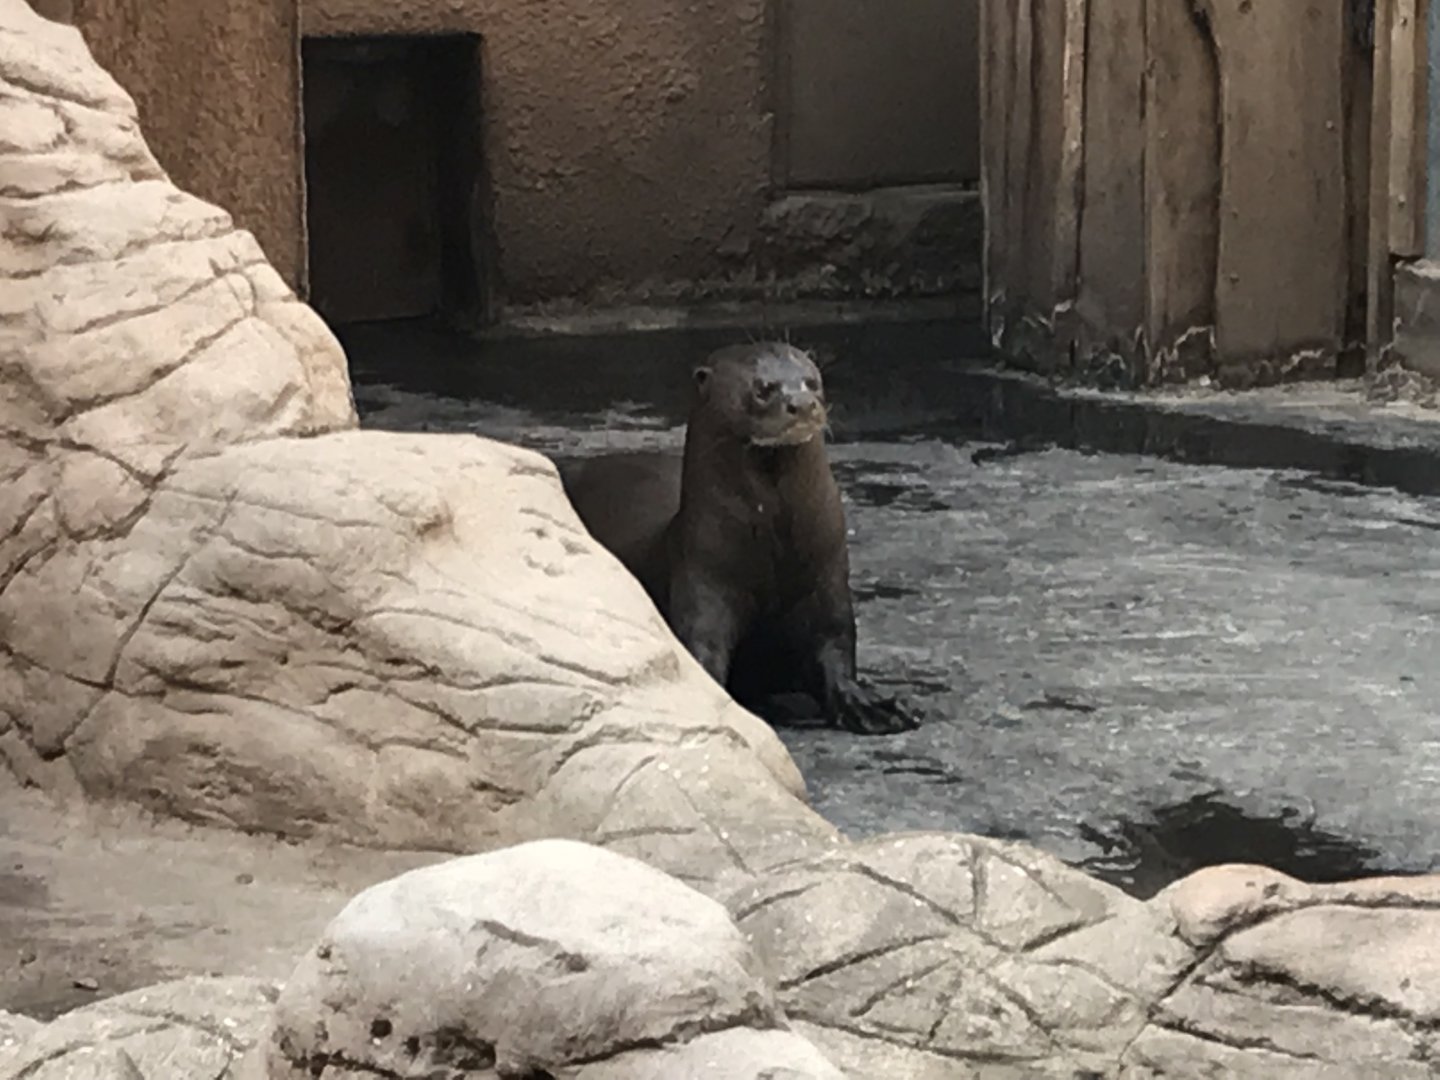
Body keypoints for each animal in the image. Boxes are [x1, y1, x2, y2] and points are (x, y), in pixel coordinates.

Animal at [561, 342, 919, 736]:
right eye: (763, 388)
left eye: (812, 381)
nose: (803, 404)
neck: (772, 556)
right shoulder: (704, 579)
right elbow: (704, 651)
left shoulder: (828, 579)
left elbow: (836, 646)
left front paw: (870, 706)